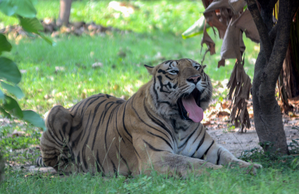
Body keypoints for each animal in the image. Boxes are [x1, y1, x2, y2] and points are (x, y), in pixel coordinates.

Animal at [38, 58, 262, 177]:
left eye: (197, 67)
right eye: (174, 71)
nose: (196, 78)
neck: (181, 124)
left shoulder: (211, 149)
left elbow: (232, 158)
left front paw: (251, 167)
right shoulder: (157, 157)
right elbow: (193, 164)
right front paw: (219, 172)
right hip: (56, 112)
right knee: (56, 163)